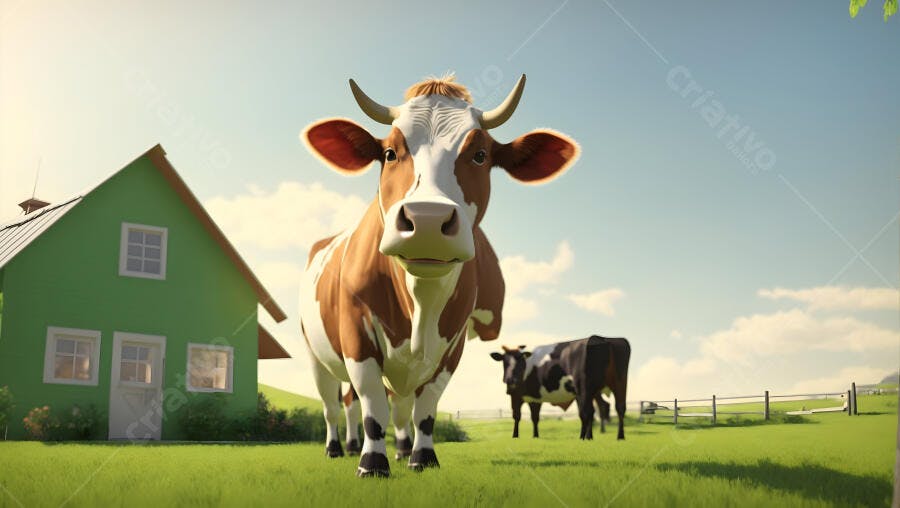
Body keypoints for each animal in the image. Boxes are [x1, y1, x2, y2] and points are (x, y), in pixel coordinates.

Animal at [299, 74, 580, 477]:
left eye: (480, 155)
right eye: (390, 153)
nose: (427, 219)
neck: (420, 304)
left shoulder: (452, 342)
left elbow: (425, 409)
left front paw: (419, 456)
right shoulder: (357, 335)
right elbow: (373, 405)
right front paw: (372, 463)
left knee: (374, 404)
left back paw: (379, 447)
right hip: (315, 354)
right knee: (335, 405)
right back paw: (339, 448)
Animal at [490, 336, 630, 440]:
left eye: (519, 360)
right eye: (504, 361)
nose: (510, 380)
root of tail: (602, 339)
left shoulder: (515, 395)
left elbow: (517, 416)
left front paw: (515, 436)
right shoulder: (535, 398)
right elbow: (535, 417)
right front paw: (535, 436)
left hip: (585, 388)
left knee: (588, 411)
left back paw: (584, 437)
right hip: (618, 382)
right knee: (617, 407)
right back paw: (618, 436)